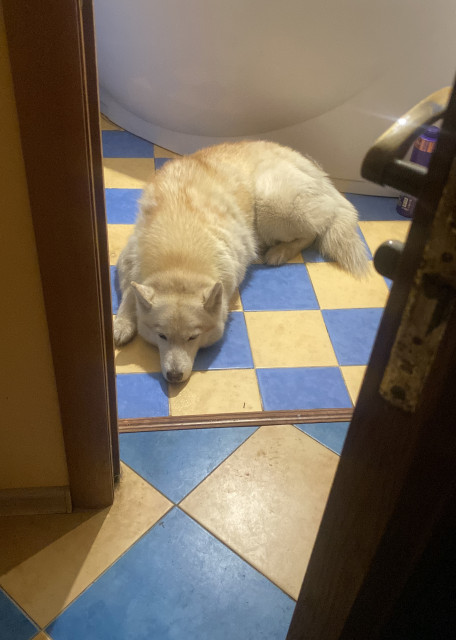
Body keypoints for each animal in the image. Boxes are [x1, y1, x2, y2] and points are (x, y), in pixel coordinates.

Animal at [113, 140, 368, 383]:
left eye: (193, 337)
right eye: (162, 336)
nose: (174, 376)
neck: (178, 258)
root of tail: (311, 166)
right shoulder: (128, 261)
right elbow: (129, 293)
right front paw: (123, 323)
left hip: (272, 206)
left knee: (314, 231)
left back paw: (280, 251)